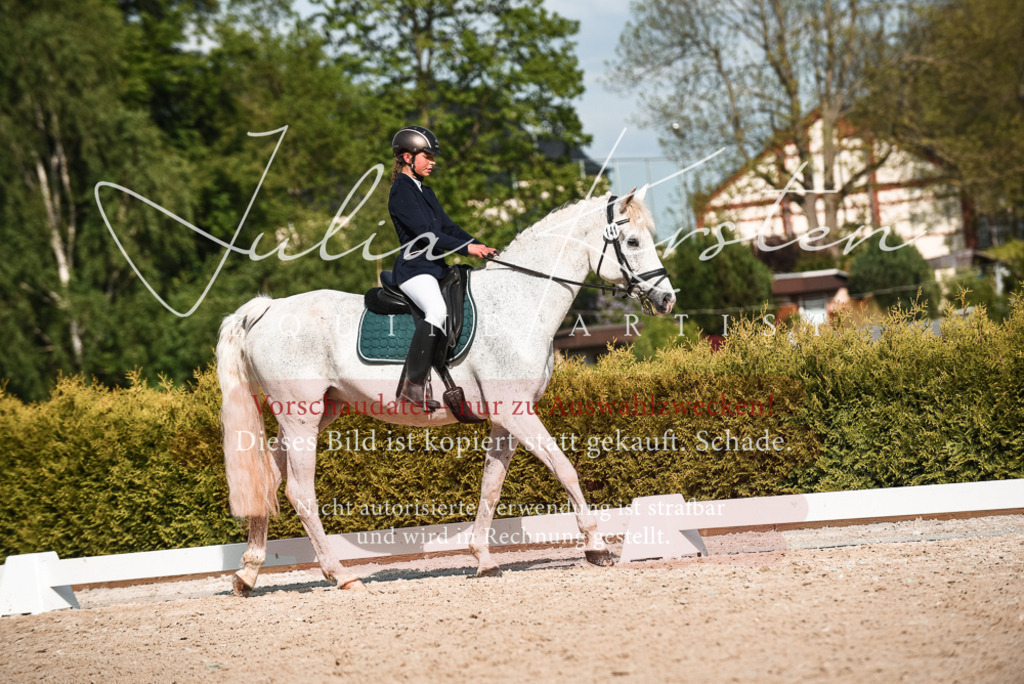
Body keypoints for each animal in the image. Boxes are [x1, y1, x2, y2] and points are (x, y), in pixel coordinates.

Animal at [216, 186, 676, 594]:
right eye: (633, 241)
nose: (667, 299)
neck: (519, 302)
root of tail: (266, 310)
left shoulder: (506, 419)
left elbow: (491, 485)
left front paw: (483, 559)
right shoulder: (517, 412)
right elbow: (565, 468)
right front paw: (596, 547)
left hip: (314, 414)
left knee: (270, 482)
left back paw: (248, 575)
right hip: (300, 416)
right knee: (299, 492)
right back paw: (340, 575)